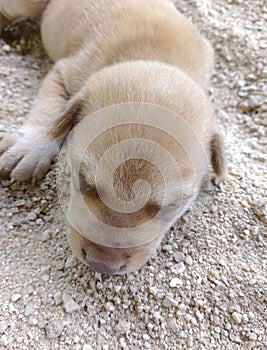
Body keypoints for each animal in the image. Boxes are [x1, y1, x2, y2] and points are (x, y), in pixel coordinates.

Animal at [0, 0, 227, 274]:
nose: (102, 265)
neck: (155, 56)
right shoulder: (65, 72)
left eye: (172, 206)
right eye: (83, 181)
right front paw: (31, 147)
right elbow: (52, 112)